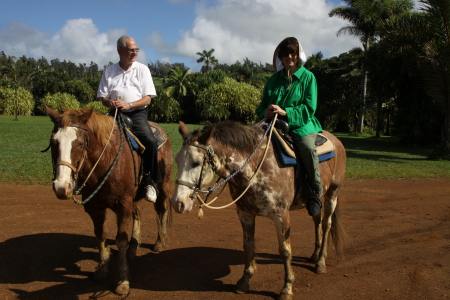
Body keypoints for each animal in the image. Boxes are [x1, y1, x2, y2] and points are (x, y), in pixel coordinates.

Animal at [45, 106, 172, 294]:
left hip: (163, 183)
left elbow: (120, 240)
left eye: (80, 143)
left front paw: (123, 281)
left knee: (161, 207)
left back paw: (160, 241)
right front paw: (102, 270)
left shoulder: (123, 206)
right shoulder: (94, 208)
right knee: (138, 213)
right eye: (54, 143)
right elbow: (101, 236)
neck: (105, 162)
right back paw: (133, 248)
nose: (62, 187)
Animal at [171, 120, 346, 300]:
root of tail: (336, 140)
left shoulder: (281, 215)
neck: (256, 167)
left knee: (326, 225)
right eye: (177, 160)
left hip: (332, 194)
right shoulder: (245, 213)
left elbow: (285, 250)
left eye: (196, 162)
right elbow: (248, 246)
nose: (178, 203)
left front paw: (287, 287)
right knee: (317, 222)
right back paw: (315, 255)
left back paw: (321, 262)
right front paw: (244, 280)